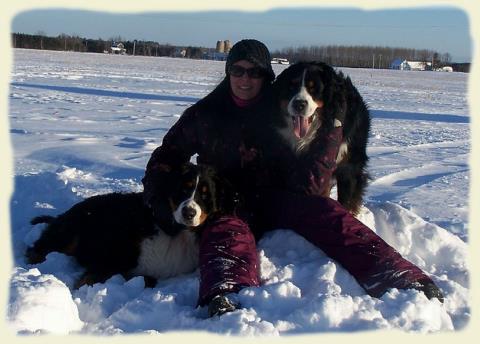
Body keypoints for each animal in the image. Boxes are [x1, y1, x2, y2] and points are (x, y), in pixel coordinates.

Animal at [25, 163, 228, 288]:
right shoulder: (112, 253)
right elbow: (91, 277)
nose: (188, 213)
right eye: (184, 189)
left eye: (205, 195)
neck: (177, 231)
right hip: (71, 233)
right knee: (37, 248)